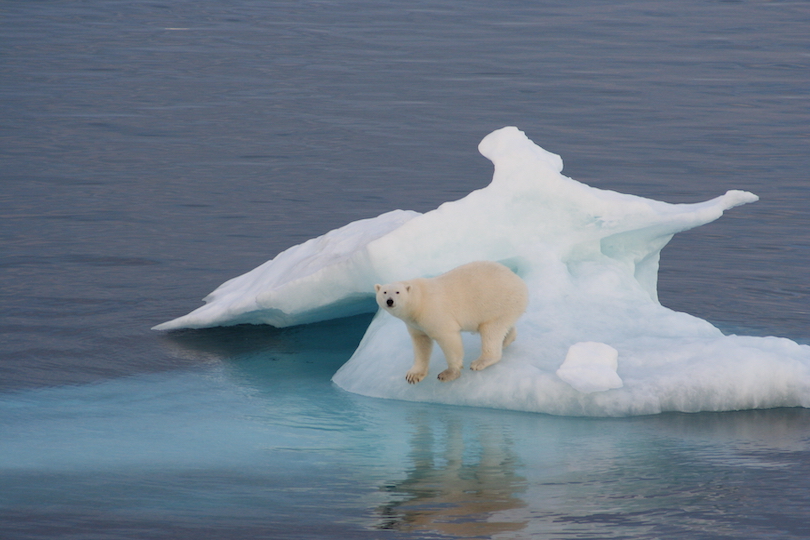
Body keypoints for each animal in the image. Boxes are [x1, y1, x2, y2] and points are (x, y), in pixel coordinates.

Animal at [374, 260, 528, 384]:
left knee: (491, 331)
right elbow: (421, 343)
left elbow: (448, 338)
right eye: (385, 292)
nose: (390, 301)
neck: (419, 301)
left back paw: (481, 361)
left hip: (498, 303)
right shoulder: (414, 323)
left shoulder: (433, 312)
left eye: (398, 292)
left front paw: (448, 373)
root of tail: (519, 281)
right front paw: (414, 375)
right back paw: (507, 340)